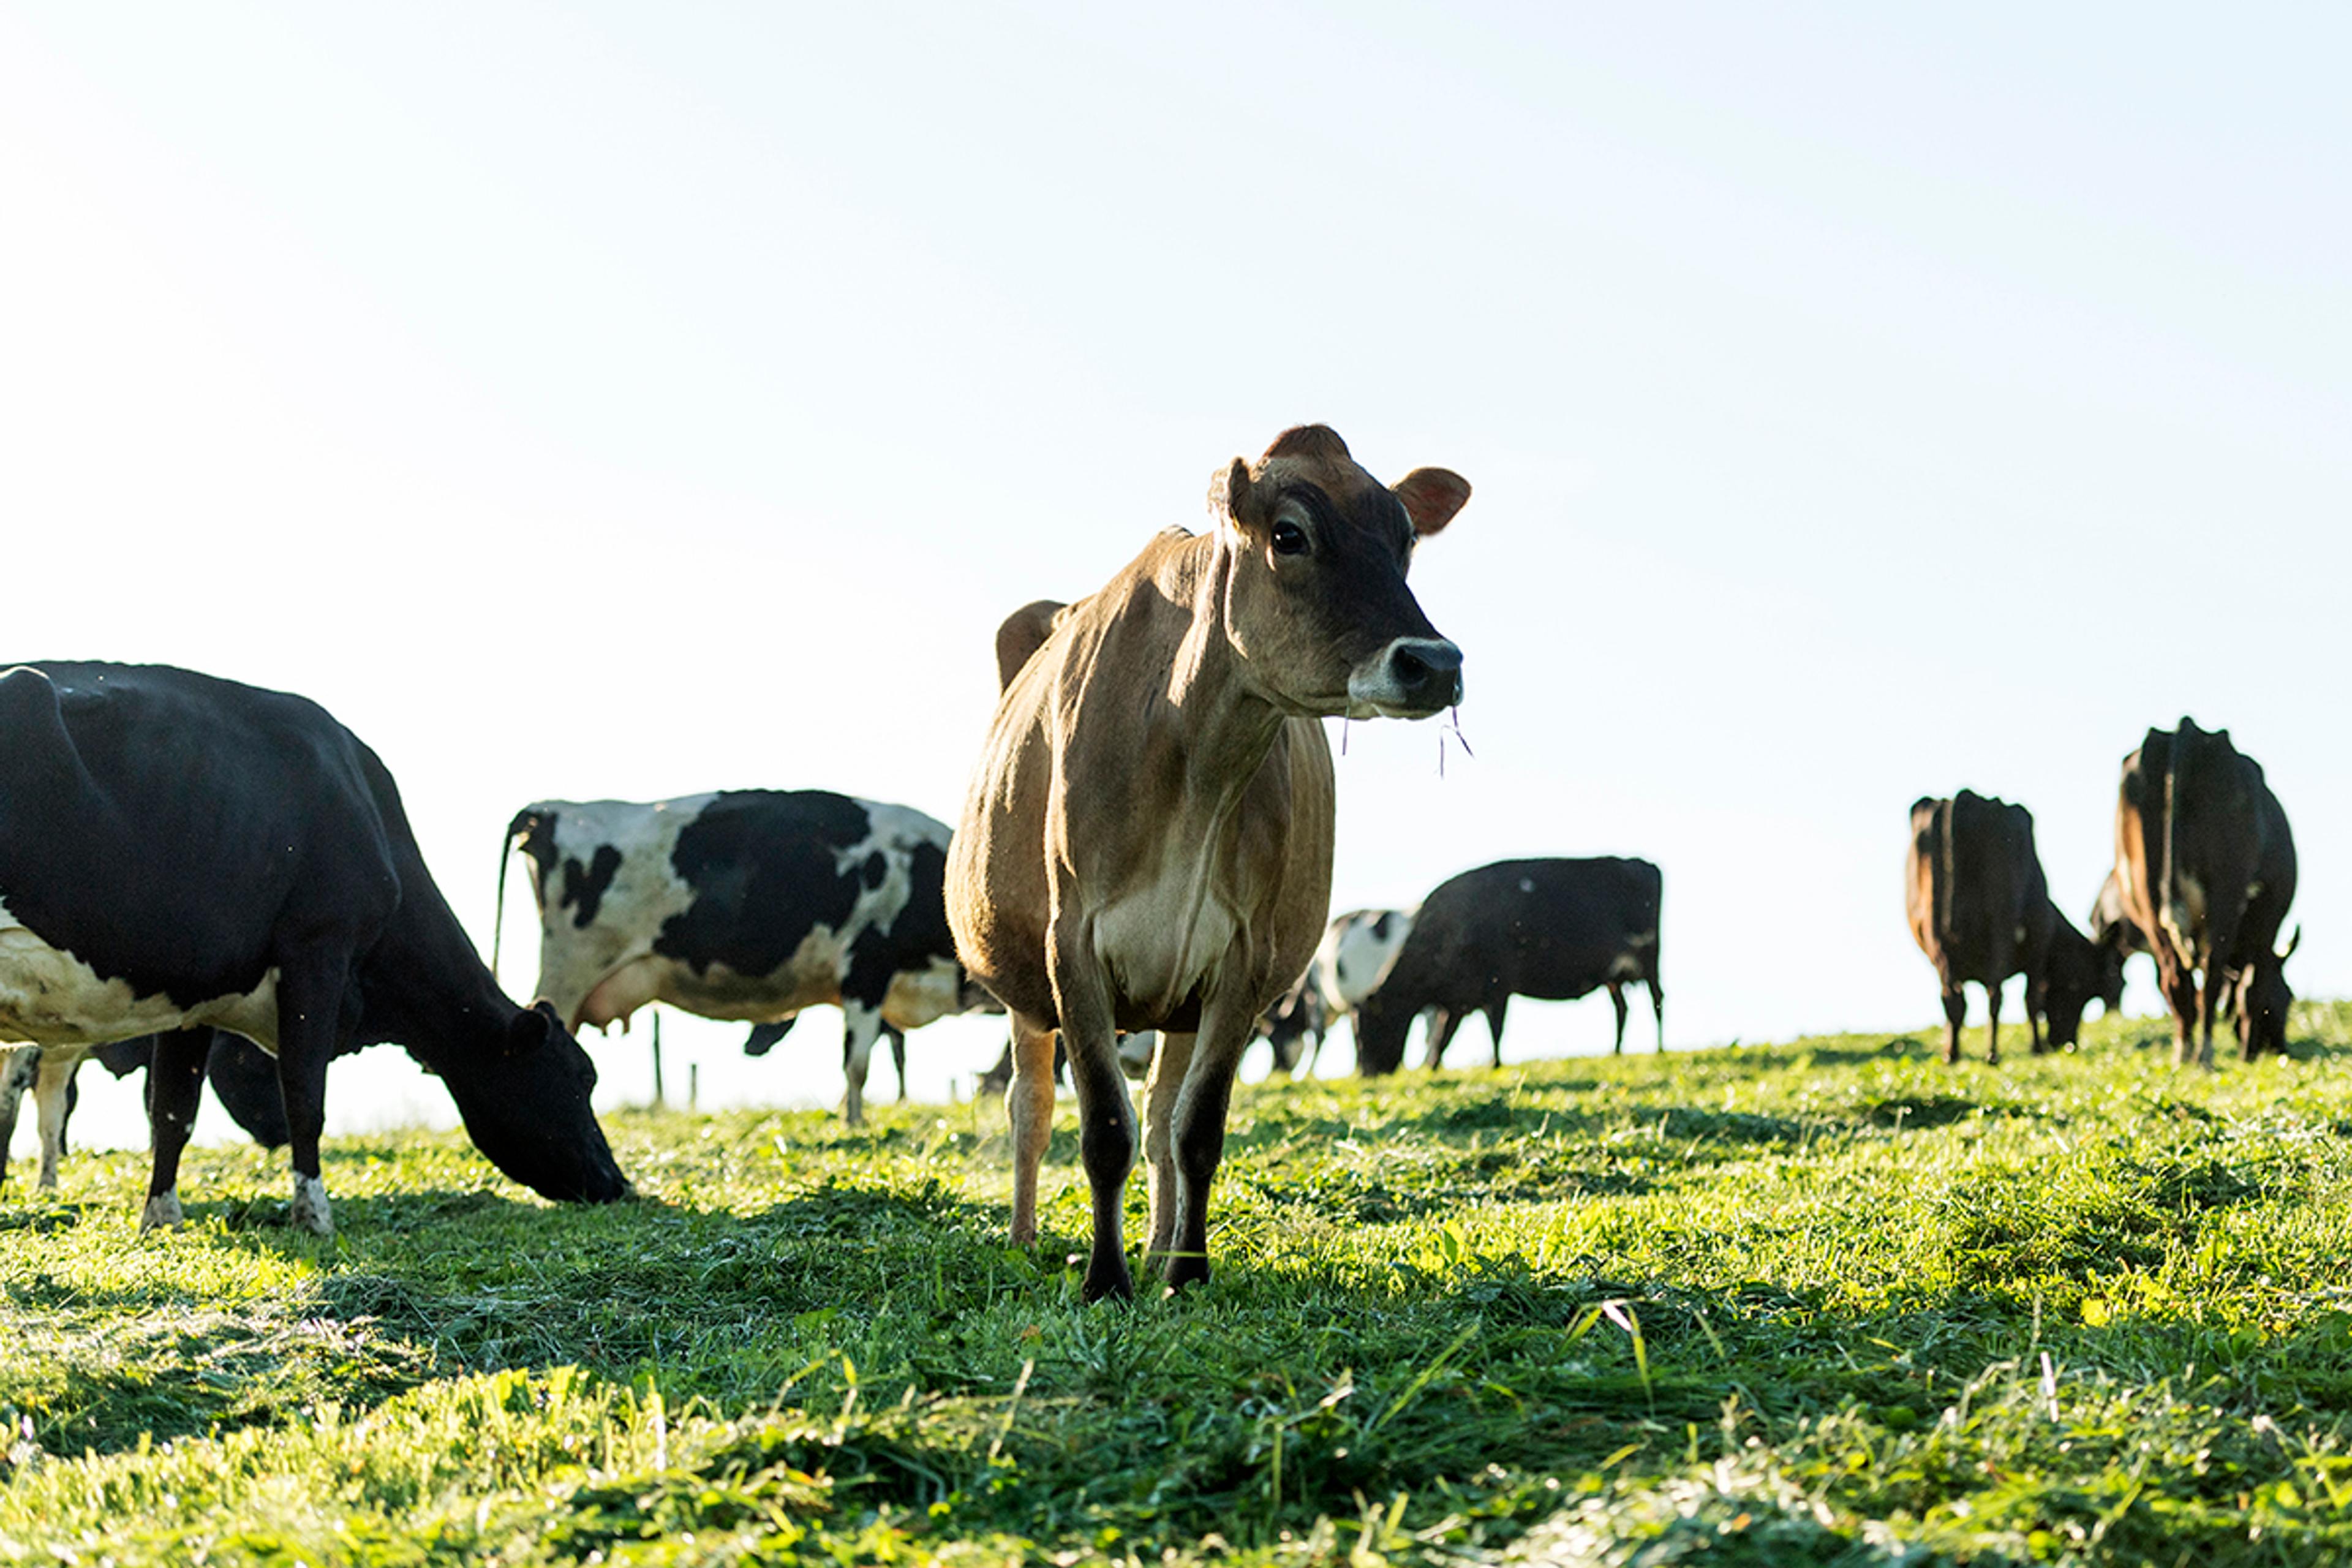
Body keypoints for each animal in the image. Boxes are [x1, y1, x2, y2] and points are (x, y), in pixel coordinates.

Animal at [0, 661, 628, 1234]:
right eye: (581, 1077)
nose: (619, 1184)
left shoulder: (194, 995)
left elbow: (174, 1110)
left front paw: (161, 1218)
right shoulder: (318, 951)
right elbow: (305, 1094)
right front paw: (314, 1216)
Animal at [949, 423, 1470, 1300]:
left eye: (1405, 540)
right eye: (1290, 534)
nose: (1433, 661)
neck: (1194, 764)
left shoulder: (1242, 958)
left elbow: (1194, 1128)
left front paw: (1184, 1273)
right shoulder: (1071, 944)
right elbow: (1102, 1126)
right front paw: (1105, 1281)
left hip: (1177, 999)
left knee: (1161, 1114)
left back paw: (1158, 1241)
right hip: (1026, 989)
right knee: (1031, 1108)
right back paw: (1023, 1236)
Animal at [1355, 858, 1663, 1073]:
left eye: (1370, 1027)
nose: (1367, 1073)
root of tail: (1640, 863)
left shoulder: (1498, 985)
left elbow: (1495, 1028)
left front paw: (1496, 1065)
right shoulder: (1460, 999)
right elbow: (1443, 1038)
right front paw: (1431, 1068)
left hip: (1649, 960)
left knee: (1657, 1001)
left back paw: (1659, 1050)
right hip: (1614, 975)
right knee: (1622, 1009)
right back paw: (1617, 1052)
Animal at [1905, 791, 2120, 1066]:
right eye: (2080, 990)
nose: (2065, 1042)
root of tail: (1966, 796)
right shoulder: (2038, 954)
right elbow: (2033, 1001)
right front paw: (2036, 1048)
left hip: (1941, 942)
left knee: (1954, 1001)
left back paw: (1953, 1055)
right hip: (2000, 931)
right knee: (1994, 996)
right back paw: (1993, 1054)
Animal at [2110, 719, 2299, 1066]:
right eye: (2288, 998)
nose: (2280, 1048)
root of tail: (2188, 727)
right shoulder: (2266, 925)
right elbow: (2253, 989)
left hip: (2147, 898)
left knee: (2175, 980)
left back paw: (2183, 1053)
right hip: (2225, 889)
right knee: (2211, 975)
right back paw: (2206, 1054)